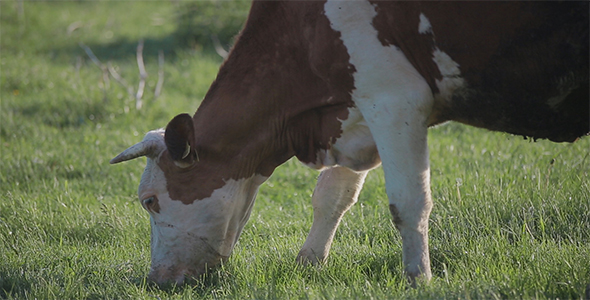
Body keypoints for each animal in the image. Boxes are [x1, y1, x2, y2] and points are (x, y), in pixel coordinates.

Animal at [110, 0, 588, 286]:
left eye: (149, 201)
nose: (156, 280)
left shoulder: (395, 98)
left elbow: (409, 202)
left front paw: (419, 279)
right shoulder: (354, 110)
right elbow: (332, 196)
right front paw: (309, 262)